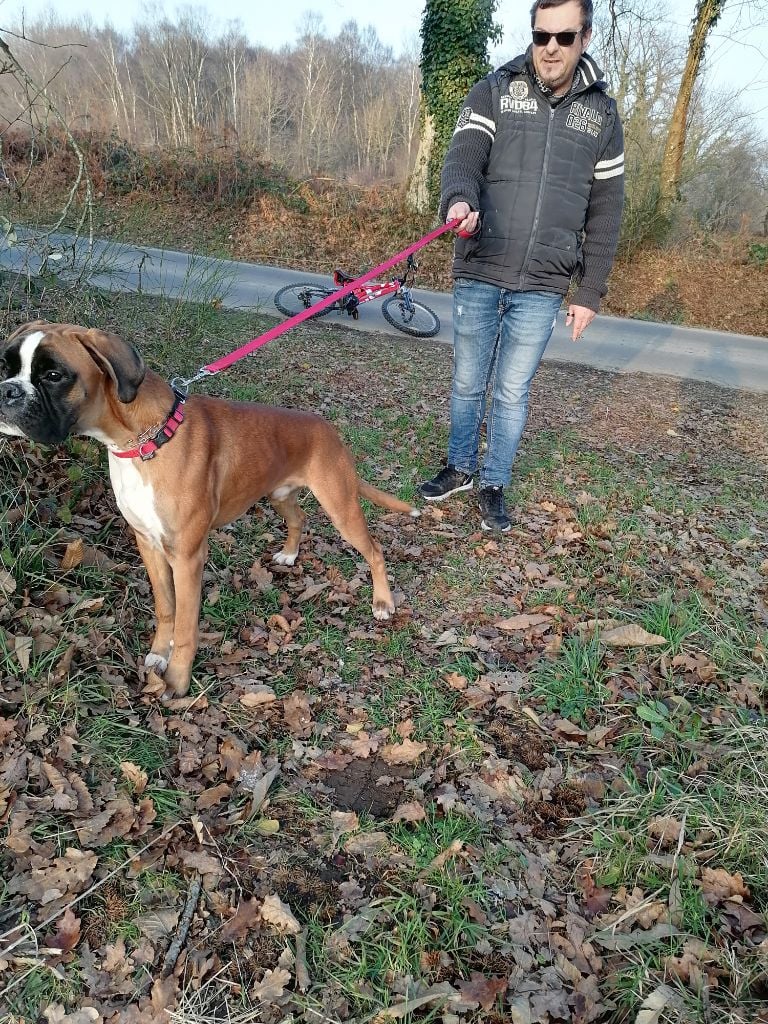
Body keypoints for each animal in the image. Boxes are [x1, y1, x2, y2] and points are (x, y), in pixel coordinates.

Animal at [0, 321, 417, 696]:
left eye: (54, 375)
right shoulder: (149, 545)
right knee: (299, 518)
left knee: (374, 549)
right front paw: (159, 653)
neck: (145, 441)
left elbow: (186, 626)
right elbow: (165, 607)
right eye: (7, 367)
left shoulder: (186, 558)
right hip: (280, 495)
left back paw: (382, 602)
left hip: (340, 506)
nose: (6, 391)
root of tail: (327, 428)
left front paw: (177, 681)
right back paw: (289, 554)